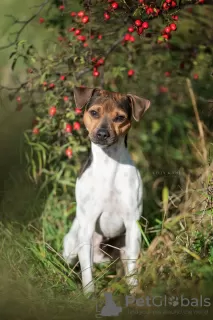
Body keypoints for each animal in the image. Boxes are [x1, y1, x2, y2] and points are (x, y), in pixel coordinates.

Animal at [62, 86, 151, 294]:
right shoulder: (87, 225)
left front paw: (135, 292)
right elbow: (87, 272)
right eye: (94, 112)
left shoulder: (132, 225)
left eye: (120, 117)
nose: (102, 133)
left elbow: (133, 270)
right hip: (71, 244)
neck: (108, 165)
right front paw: (88, 294)